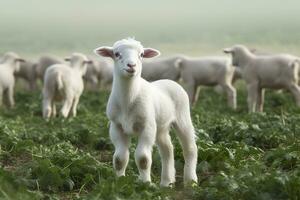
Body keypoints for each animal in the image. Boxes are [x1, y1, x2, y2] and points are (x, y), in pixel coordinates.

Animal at [94, 38, 197, 187]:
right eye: (116, 54)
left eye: (141, 54)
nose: (131, 65)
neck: (128, 100)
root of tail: (170, 81)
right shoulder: (116, 126)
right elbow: (119, 159)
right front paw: (119, 182)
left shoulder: (147, 126)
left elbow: (143, 159)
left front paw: (145, 184)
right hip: (160, 127)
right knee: (167, 150)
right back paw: (167, 182)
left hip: (182, 117)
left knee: (190, 148)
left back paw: (191, 181)